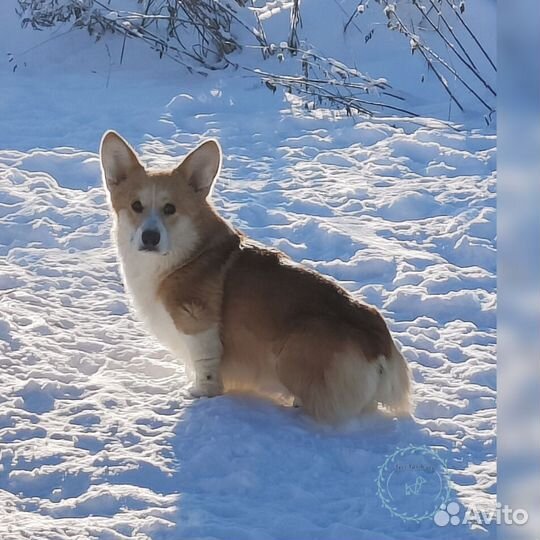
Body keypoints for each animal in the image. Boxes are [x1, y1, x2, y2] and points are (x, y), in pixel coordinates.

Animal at [101, 131, 412, 422]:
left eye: (170, 209)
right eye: (136, 206)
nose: (150, 237)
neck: (184, 253)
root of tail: (380, 345)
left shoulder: (197, 322)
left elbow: (206, 366)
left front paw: (197, 394)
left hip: (294, 350)